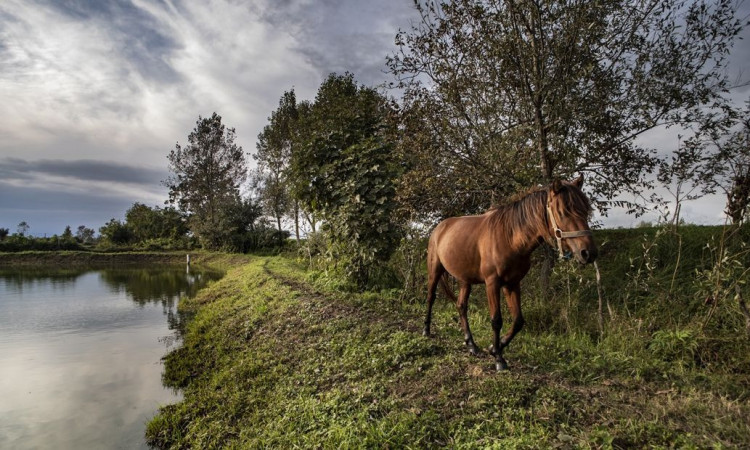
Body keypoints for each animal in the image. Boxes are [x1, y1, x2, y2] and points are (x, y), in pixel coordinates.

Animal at [424, 175, 600, 370]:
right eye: (563, 212)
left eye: (585, 210)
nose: (588, 253)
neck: (509, 238)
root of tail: (440, 227)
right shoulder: (492, 283)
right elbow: (496, 320)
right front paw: (499, 359)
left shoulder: (513, 283)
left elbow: (518, 321)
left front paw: (494, 348)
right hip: (435, 270)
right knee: (431, 297)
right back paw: (426, 331)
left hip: (465, 279)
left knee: (461, 306)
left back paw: (471, 345)